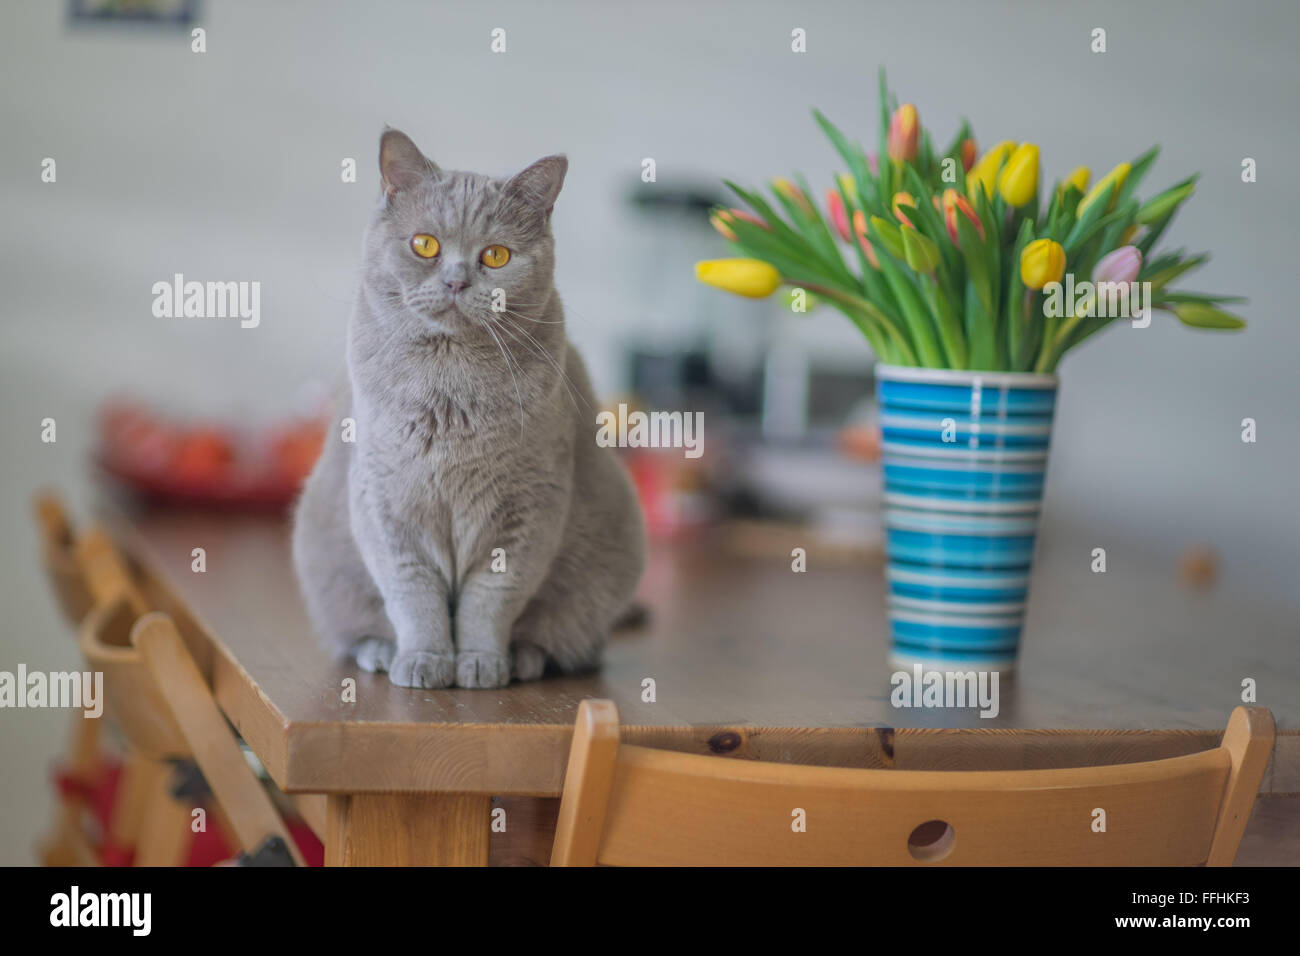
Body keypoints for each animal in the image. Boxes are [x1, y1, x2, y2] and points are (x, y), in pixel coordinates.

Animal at [289, 130, 644, 691]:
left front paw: (479, 663)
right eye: (425, 245)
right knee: (355, 629)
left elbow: (491, 597)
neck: (449, 393)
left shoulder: (530, 509)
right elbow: (412, 593)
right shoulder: (384, 503)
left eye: (496, 256)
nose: (456, 281)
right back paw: (381, 652)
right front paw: (424, 660)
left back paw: (527, 657)